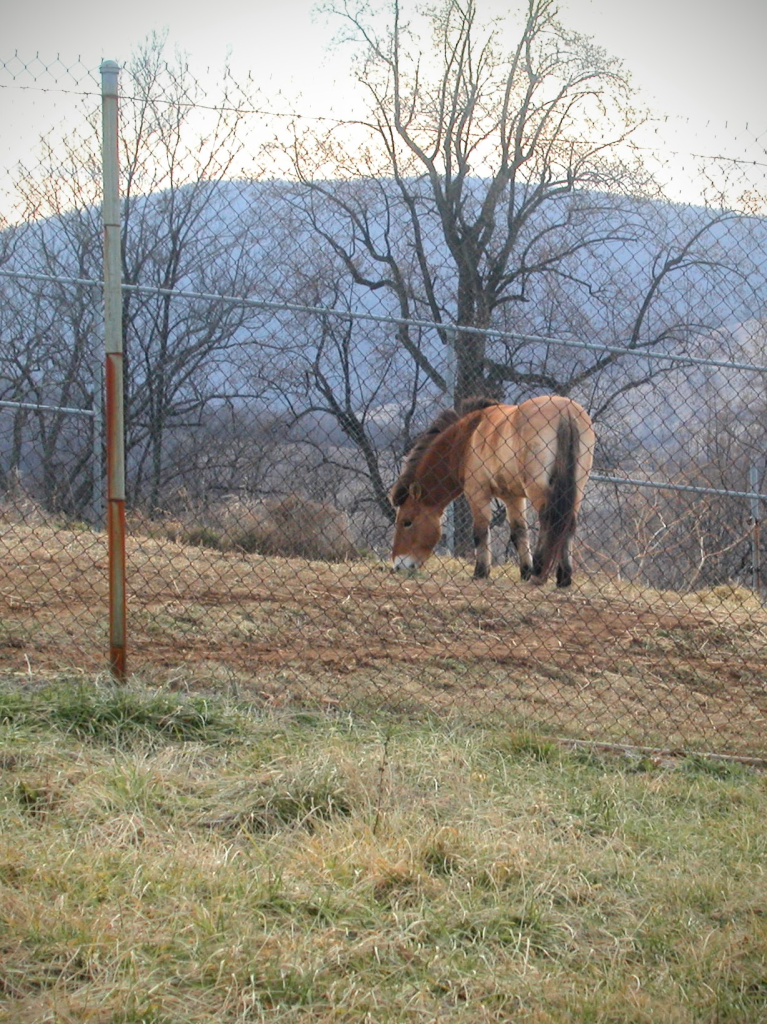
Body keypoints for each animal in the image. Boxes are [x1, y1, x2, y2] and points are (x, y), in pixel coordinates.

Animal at [389, 395, 593, 589]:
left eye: (407, 522)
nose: (399, 565)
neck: (466, 438)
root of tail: (565, 412)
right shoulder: (513, 497)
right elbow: (519, 532)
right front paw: (524, 571)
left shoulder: (477, 493)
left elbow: (480, 531)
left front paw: (481, 572)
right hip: (576, 489)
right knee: (568, 524)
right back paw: (563, 578)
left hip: (538, 488)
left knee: (549, 519)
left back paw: (540, 572)